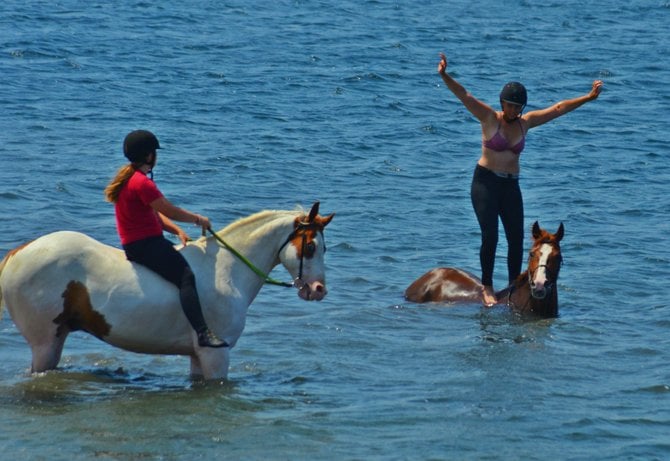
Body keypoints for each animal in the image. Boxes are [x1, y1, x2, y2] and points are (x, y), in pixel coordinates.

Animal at [0, 201, 336, 378]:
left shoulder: (198, 356)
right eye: (310, 247)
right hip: (45, 342)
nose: (318, 289)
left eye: (323, 247)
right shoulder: (215, 354)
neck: (227, 270)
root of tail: (19, 252)